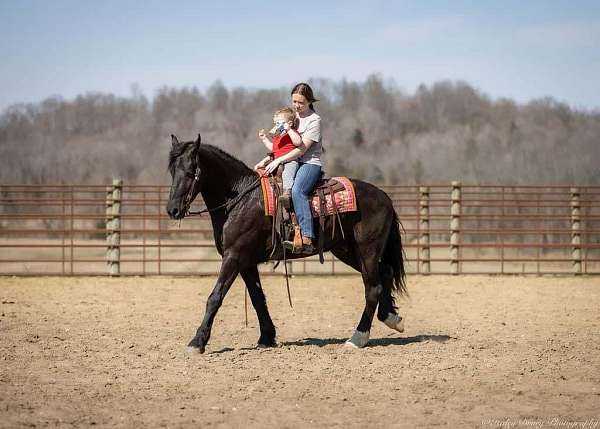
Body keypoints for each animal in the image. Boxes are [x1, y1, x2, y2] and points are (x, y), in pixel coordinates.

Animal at [166, 134, 406, 352]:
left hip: (367, 250)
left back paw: (358, 337)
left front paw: (197, 342)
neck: (240, 199)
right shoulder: (245, 262)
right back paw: (391, 317)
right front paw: (266, 337)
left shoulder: (233, 257)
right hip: (347, 250)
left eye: (191, 171)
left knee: (372, 287)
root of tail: (384, 196)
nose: (173, 210)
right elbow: (257, 298)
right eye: (172, 171)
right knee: (384, 273)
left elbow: (215, 297)